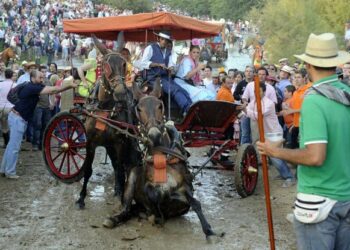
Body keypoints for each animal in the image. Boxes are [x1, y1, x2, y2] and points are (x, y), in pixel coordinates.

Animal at [75, 37, 139, 209]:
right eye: (106, 65)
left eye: (124, 64)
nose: (121, 93)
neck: (104, 108)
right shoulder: (90, 142)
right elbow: (88, 170)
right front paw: (81, 197)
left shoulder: (119, 142)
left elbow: (120, 169)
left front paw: (121, 194)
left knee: (119, 165)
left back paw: (119, 188)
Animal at [103, 79, 224, 240]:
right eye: (139, 108)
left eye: (160, 105)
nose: (154, 135)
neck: (161, 157)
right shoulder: (148, 186)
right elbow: (153, 194)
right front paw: (156, 213)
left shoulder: (185, 187)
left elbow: (195, 202)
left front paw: (209, 230)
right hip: (132, 177)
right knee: (127, 209)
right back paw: (115, 219)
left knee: (134, 210)